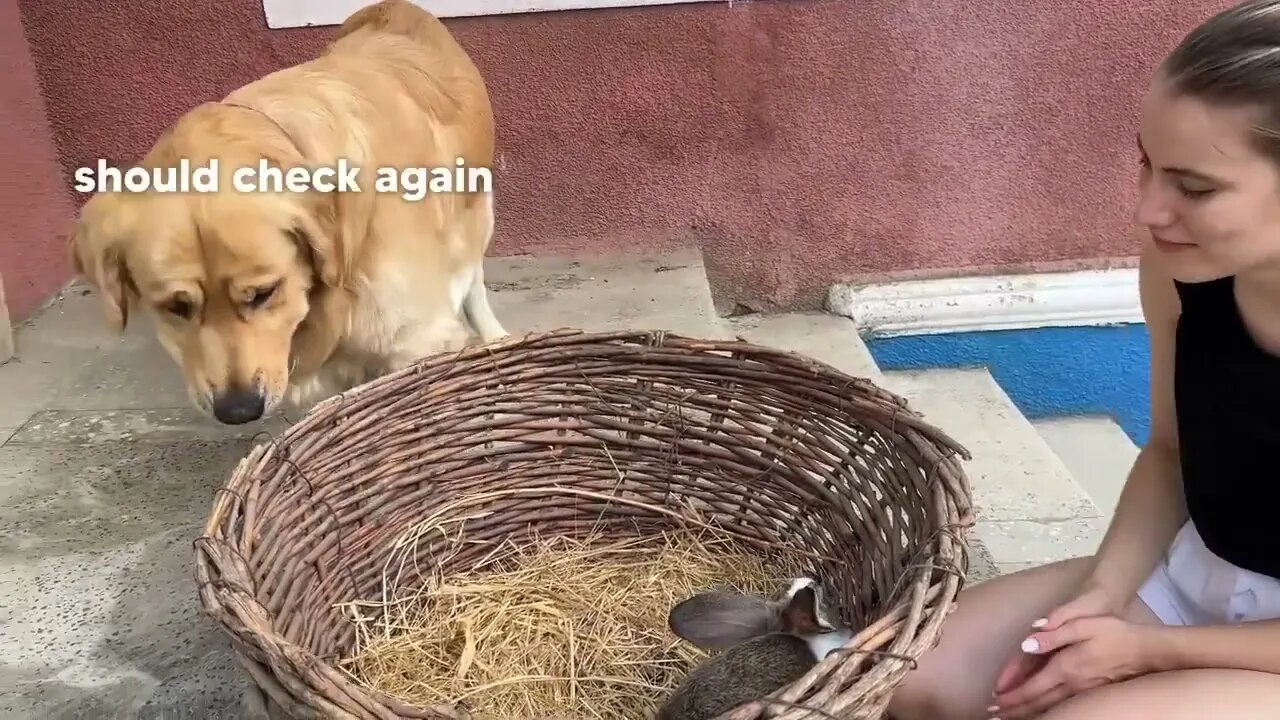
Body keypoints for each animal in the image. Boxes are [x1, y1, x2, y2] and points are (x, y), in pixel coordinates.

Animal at [66, 0, 504, 422]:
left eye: (264, 293)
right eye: (176, 307)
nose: (238, 411)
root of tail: (393, 6)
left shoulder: (415, 339)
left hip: (477, 212)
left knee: (474, 279)